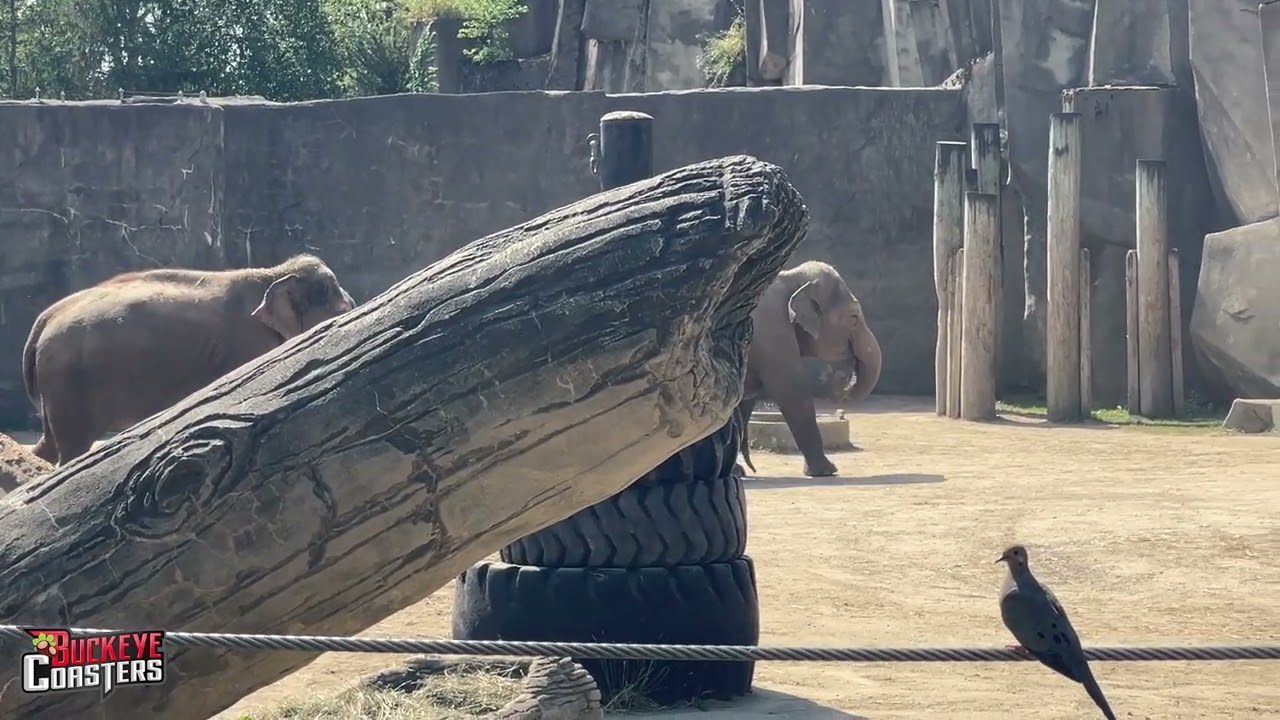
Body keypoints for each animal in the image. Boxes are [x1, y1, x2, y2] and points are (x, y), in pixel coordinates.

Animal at [22, 254, 356, 465]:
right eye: (342, 310)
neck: (273, 273)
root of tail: (41, 324)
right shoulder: (250, 346)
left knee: (50, 446)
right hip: (70, 383)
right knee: (72, 449)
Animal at [735, 260, 882, 477]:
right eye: (854, 317)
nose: (841, 374)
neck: (792, 278)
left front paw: (737, 471)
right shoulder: (773, 334)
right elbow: (791, 392)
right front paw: (827, 471)